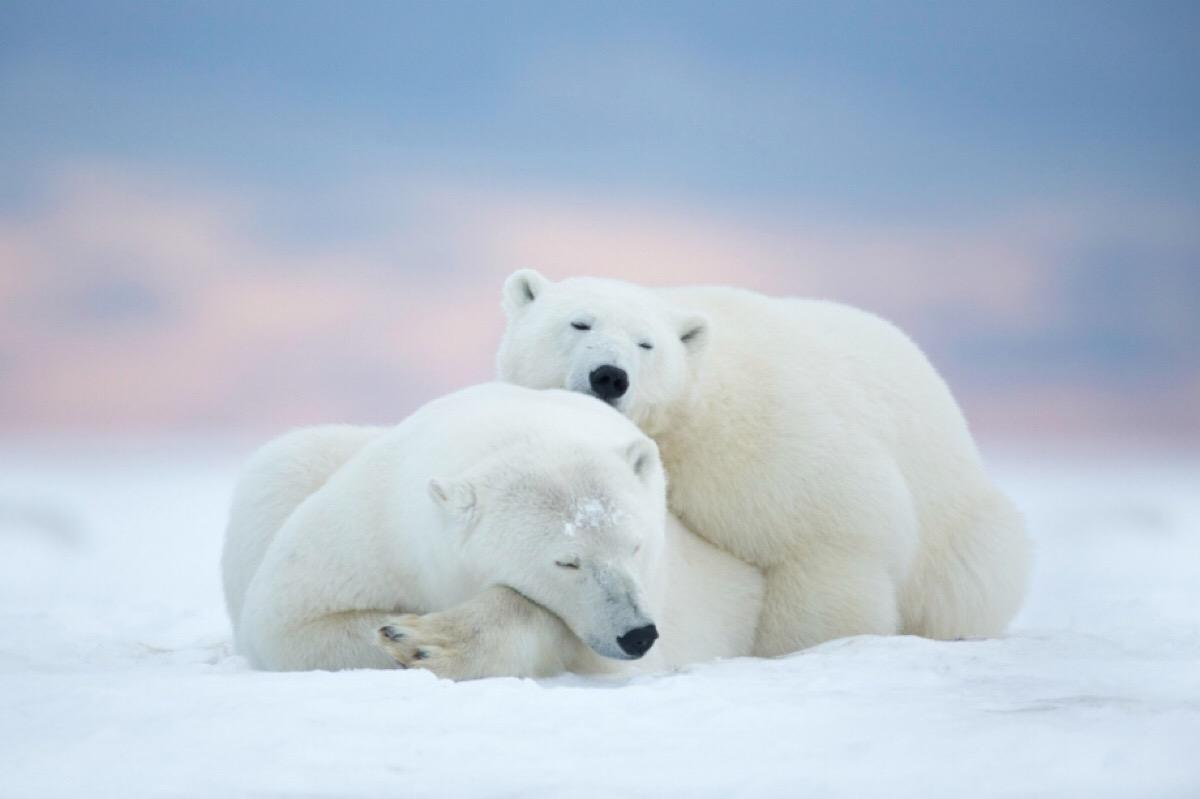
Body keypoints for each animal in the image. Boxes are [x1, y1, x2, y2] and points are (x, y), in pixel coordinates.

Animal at [222, 381, 763, 676]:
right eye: (567, 561)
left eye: (635, 546)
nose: (637, 634)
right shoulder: (375, 528)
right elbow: (291, 623)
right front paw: (403, 633)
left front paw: (427, 640)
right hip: (286, 470)